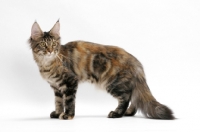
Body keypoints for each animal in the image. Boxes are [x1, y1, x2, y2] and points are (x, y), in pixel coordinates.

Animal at [28, 20, 174, 119]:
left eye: (54, 44)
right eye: (43, 45)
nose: (50, 51)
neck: (47, 64)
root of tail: (135, 61)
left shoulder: (70, 82)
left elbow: (68, 101)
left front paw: (67, 115)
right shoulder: (56, 87)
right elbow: (58, 102)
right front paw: (58, 112)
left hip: (113, 83)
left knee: (126, 97)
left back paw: (117, 113)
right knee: (134, 97)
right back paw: (128, 112)